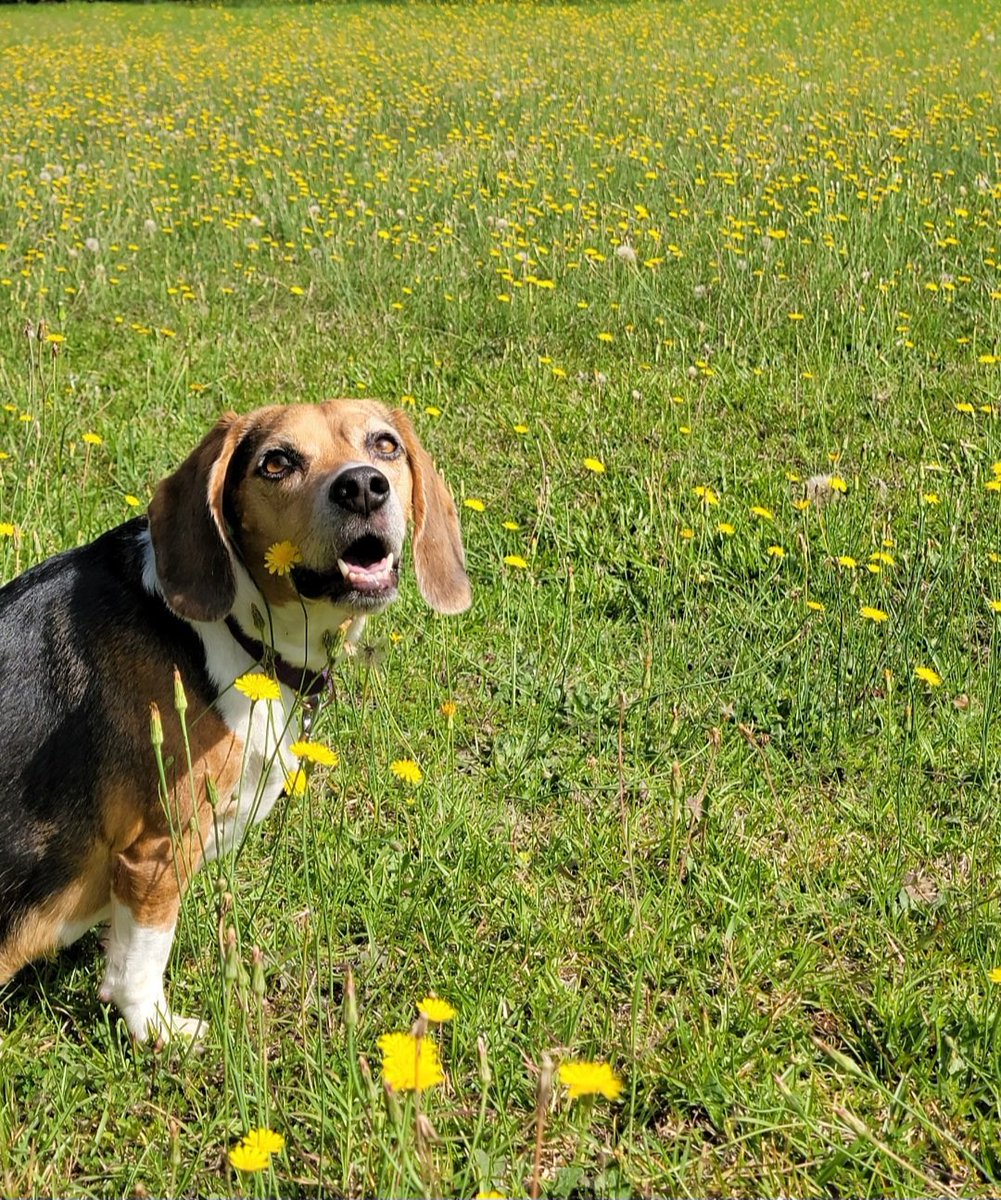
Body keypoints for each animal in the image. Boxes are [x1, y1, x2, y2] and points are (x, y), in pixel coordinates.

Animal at [0, 400, 470, 1041]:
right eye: (276, 462)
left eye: (385, 446)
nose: (362, 487)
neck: (235, 632)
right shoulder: (159, 850)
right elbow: (140, 964)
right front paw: (161, 1035)